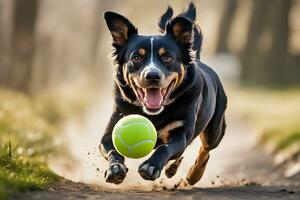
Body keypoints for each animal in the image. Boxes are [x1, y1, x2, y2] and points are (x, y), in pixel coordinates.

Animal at [99, 2, 227, 186]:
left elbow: (166, 147)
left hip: (215, 130)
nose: (152, 75)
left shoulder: (181, 133)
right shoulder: (111, 130)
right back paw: (172, 169)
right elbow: (112, 151)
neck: (153, 114)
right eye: (136, 57)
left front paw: (151, 166)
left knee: (205, 150)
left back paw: (193, 175)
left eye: (167, 57)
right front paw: (115, 168)